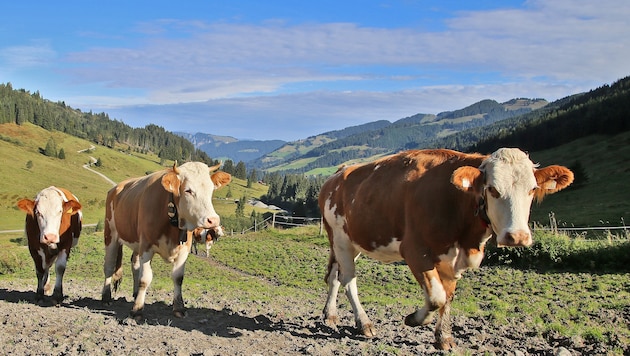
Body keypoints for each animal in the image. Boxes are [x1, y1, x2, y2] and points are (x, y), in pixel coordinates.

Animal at [101, 161, 232, 318]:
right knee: (109, 266)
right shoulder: (147, 247)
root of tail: (116, 187)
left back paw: (135, 293)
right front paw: (137, 309)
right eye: (188, 190)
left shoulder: (184, 249)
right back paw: (106, 297)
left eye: (211, 189)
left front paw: (179, 308)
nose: (213, 220)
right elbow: (145, 279)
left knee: (135, 265)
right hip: (111, 234)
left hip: (136, 243)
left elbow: (178, 277)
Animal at [318, 148, 576, 350]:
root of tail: (337, 175)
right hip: (339, 238)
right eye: (492, 189)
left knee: (335, 275)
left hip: (353, 242)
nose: (517, 237)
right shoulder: (415, 251)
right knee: (348, 279)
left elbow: (448, 296)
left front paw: (443, 338)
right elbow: (436, 297)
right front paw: (414, 319)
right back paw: (364, 323)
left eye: (532, 189)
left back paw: (330, 314)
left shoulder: (453, 258)